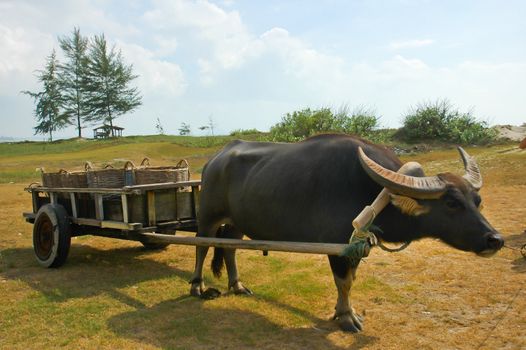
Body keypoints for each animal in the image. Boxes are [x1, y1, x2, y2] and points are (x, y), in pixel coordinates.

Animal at [191, 133, 508, 330]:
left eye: (477, 200)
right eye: (452, 203)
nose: (495, 239)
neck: (374, 193)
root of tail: (216, 159)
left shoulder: (356, 247)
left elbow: (351, 280)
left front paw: (344, 311)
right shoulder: (337, 247)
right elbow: (343, 282)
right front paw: (346, 318)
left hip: (236, 222)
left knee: (230, 247)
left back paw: (237, 285)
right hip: (207, 216)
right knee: (201, 245)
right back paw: (197, 286)